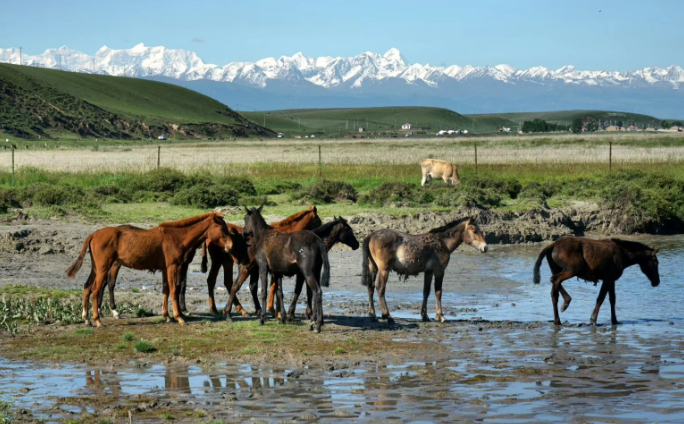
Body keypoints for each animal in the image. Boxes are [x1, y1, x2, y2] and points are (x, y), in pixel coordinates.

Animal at [67, 212, 232, 328]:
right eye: (221, 227)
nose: (230, 246)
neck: (177, 237)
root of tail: (93, 235)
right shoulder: (173, 266)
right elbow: (174, 289)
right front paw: (179, 317)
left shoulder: (165, 269)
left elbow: (165, 290)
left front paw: (167, 316)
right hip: (104, 267)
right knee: (96, 289)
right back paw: (97, 320)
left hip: (96, 268)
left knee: (87, 287)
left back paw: (86, 319)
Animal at [360, 219, 488, 324]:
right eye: (475, 231)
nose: (485, 247)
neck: (442, 242)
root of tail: (371, 235)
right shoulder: (439, 271)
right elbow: (438, 292)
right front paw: (440, 316)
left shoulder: (429, 272)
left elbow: (426, 292)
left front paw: (425, 315)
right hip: (384, 270)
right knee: (380, 288)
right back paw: (387, 316)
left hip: (373, 268)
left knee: (370, 287)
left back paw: (373, 314)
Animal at [532, 237, 660, 326]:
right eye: (655, 262)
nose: (656, 282)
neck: (624, 257)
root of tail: (552, 245)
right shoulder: (608, 279)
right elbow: (601, 298)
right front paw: (593, 319)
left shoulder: (612, 279)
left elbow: (612, 299)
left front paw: (615, 320)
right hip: (572, 270)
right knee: (555, 280)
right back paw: (566, 302)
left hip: (556, 268)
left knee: (554, 293)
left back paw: (557, 320)